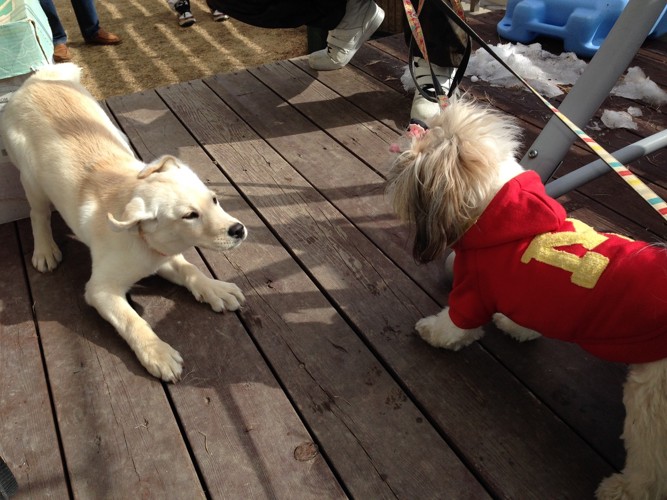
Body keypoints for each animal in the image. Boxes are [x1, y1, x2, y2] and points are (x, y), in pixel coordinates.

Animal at [0, 63, 248, 382]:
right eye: (190, 215)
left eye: (215, 199)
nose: (238, 230)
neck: (143, 241)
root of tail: (36, 80)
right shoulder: (100, 289)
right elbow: (133, 320)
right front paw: (157, 353)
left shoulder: (162, 255)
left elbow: (190, 268)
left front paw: (215, 288)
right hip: (31, 178)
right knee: (37, 213)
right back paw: (44, 250)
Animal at [386, 99, 667, 498]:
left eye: (420, 148)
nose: (411, 129)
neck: (496, 209)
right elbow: (521, 318)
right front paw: (515, 325)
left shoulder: (472, 291)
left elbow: (456, 326)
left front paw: (433, 332)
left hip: (653, 398)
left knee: (652, 466)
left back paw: (623, 489)